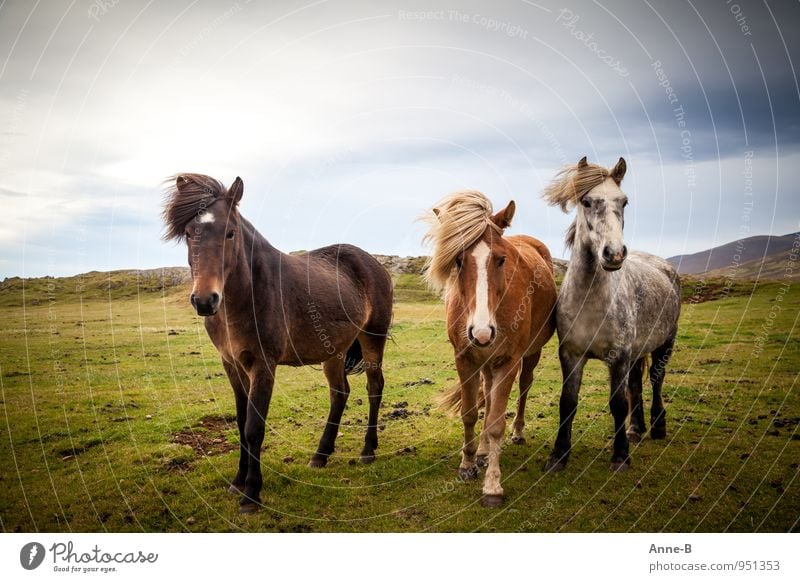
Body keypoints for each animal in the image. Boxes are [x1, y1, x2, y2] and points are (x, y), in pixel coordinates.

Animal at [161, 175, 392, 516]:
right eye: (189, 234)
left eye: (230, 232)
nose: (205, 300)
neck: (247, 295)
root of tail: (373, 263)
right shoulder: (232, 364)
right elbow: (241, 422)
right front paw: (238, 481)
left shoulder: (263, 364)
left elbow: (254, 427)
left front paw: (251, 494)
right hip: (334, 351)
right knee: (340, 394)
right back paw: (320, 455)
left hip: (372, 338)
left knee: (374, 387)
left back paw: (367, 450)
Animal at [424, 192, 556, 506]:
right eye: (458, 260)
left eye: (501, 259)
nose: (482, 332)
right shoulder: (465, 359)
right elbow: (471, 413)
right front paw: (468, 464)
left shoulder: (508, 361)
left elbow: (496, 422)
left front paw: (492, 486)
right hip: (484, 362)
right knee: (487, 392)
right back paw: (483, 452)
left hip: (529, 355)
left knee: (523, 388)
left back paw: (517, 433)